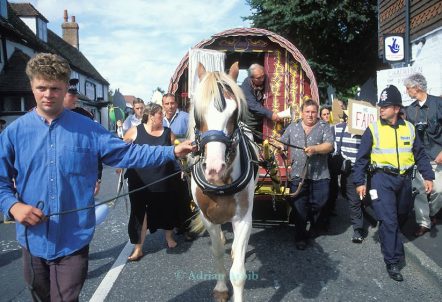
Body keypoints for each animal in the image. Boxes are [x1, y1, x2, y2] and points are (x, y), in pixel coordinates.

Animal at [187, 62, 258, 302]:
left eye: (234, 112)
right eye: (197, 113)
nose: (214, 169)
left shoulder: (244, 218)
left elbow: (238, 272)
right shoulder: (208, 217)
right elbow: (217, 249)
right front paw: (220, 288)